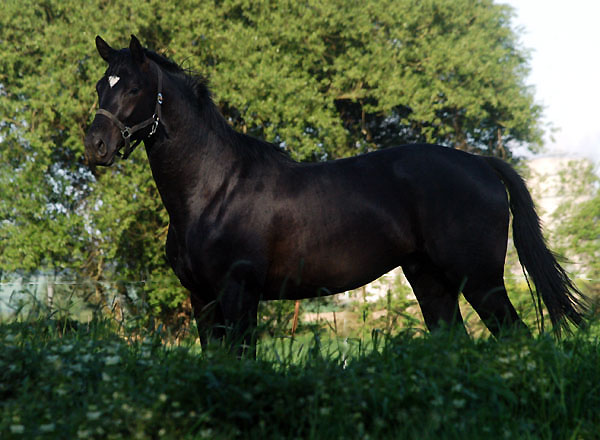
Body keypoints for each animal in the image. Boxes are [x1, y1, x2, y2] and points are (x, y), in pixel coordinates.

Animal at [84, 35, 584, 350]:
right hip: (431, 281)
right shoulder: (201, 299)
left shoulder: (239, 293)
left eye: (134, 87)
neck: (212, 191)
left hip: (480, 280)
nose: (95, 146)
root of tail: (480, 162)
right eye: (100, 86)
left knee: (516, 338)